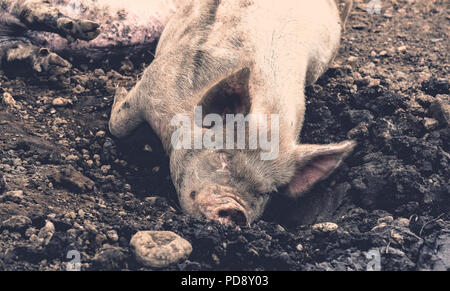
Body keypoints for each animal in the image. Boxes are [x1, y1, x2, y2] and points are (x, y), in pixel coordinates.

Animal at [109, 0, 356, 227]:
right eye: (223, 156)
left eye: (267, 191)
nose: (236, 211)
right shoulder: (153, 82)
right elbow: (118, 124)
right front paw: (119, 90)